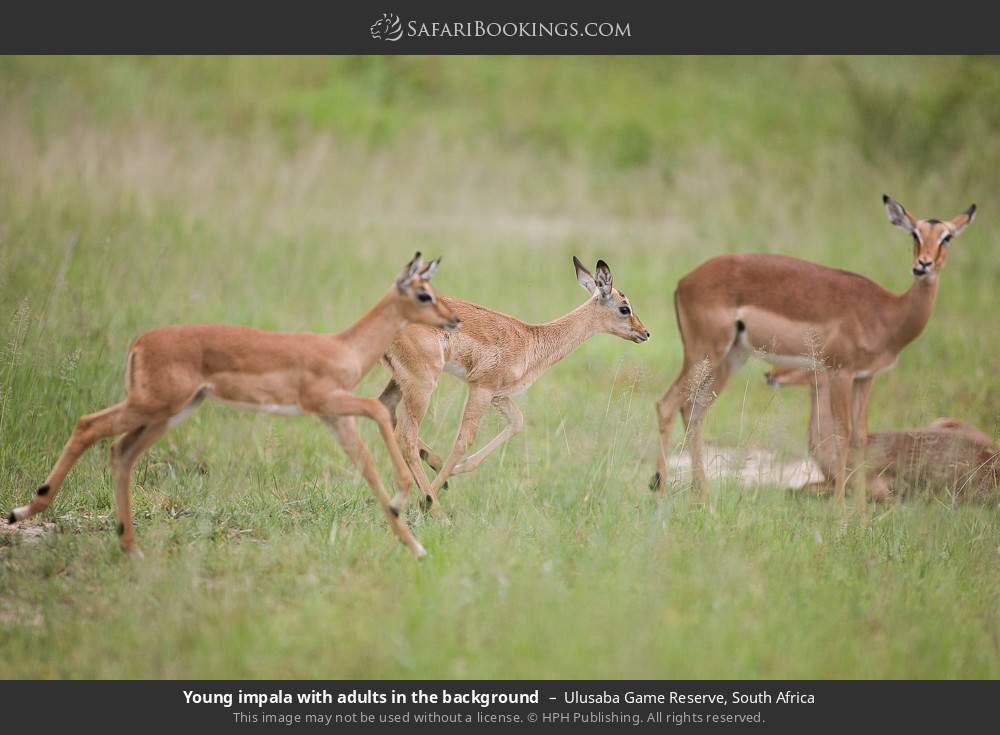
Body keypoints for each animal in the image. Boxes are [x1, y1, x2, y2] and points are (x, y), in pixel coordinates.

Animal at [6, 253, 460, 556]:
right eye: (423, 294)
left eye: (434, 291)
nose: (453, 319)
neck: (342, 347)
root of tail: (140, 343)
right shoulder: (327, 401)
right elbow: (381, 412)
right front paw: (408, 502)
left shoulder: (333, 417)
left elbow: (367, 467)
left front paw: (414, 544)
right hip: (153, 405)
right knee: (89, 424)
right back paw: (21, 511)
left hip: (171, 412)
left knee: (121, 451)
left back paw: (130, 546)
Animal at [380, 258, 648, 516]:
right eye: (625, 308)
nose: (645, 333)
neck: (531, 340)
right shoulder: (482, 389)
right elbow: (464, 440)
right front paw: (428, 498)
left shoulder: (499, 396)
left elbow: (517, 423)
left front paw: (453, 473)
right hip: (422, 385)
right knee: (405, 437)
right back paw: (436, 509)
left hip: (400, 382)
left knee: (388, 414)